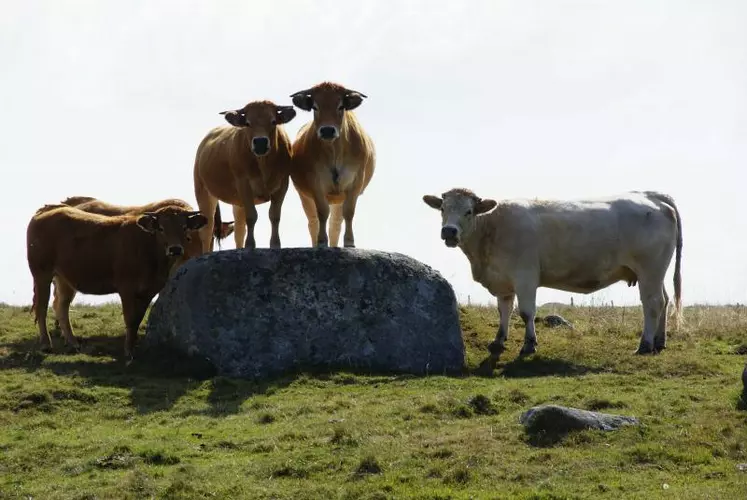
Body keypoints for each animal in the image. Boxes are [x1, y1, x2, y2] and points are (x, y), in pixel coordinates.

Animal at [26, 203, 207, 360]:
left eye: (184, 227)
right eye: (161, 228)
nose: (175, 249)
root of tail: (48, 210)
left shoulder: (149, 291)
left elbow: (137, 320)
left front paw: (132, 349)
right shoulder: (126, 288)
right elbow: (130, 319)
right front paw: (128, 352)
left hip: (65, 279)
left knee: (61, 306)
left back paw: (73, 343)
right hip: (42, 274)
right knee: (42, 307)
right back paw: (46, 344)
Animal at [191, 100, 296, 252]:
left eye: (273, 121)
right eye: (247, 123)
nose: (260, 142)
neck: (263, 163)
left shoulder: (283, 184)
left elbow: (274, 216)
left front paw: (275, 245)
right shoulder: (244, 183)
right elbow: (252, 216)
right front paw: (250, 245)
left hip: (237, 202)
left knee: (239, 230)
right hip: (203, 190)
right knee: (207, 229)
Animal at [290, 81, 376, 249]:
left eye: (341, 106)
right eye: (315, 107)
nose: (327, 130)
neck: (334, 150)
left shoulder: (356, 181)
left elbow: (349, 212)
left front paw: (349, 242)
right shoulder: (316, 182)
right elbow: (322, 212)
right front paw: (322, 242)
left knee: (335, 223)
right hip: (304, 195)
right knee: (313, 221)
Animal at [420, 188, 684, 356]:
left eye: (469, 211)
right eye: (443, 208)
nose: (449, 231)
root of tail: (652, 196)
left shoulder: (525, 276)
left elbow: (526, 312)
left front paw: (529, 345)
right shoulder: (503, 280)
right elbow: (504, 310)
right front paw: (498, 341)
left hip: (649, 269)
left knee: (652, 303)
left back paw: (645, 345)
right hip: (655, 272)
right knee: (665, 300)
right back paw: (660, 342)